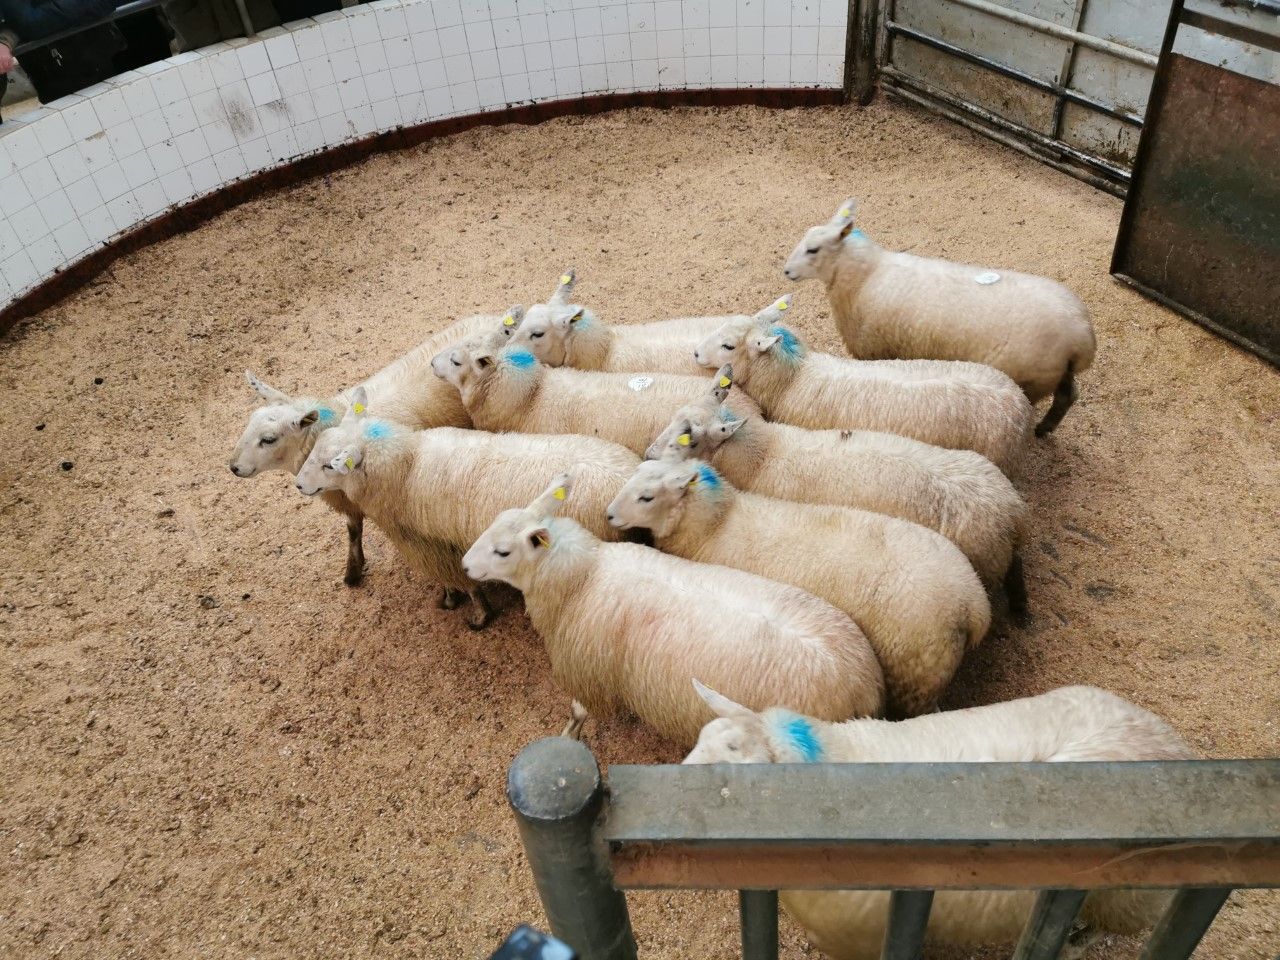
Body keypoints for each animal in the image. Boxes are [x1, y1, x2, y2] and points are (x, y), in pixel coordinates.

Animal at [228, 312, 500, 588]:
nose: (234, 467)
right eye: (250, 421)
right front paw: (353, 570)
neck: (339, 418)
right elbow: (353, 530)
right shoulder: (350, 500)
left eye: (269, 439)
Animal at [292, 388, 643, 628]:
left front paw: (465, 607)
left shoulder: (428, 544)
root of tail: (628, 476)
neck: (407, 464)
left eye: (329, 465)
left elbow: (457, 579)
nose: (298, 485)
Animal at [460, 474, 885, 744]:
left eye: (503, 551)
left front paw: (570, 734)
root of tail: (866, 686)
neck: (585, 575)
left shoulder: (587, 668)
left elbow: (579, 711)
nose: (464, 565)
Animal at [784, 199, 1097, 436]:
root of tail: (1083, 336)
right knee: (1067, 397)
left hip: (1031, 378)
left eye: (813, 249)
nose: (786, 271)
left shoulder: (874, 349)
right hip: (1059, 372)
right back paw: (1045, 429)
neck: (865, 275)